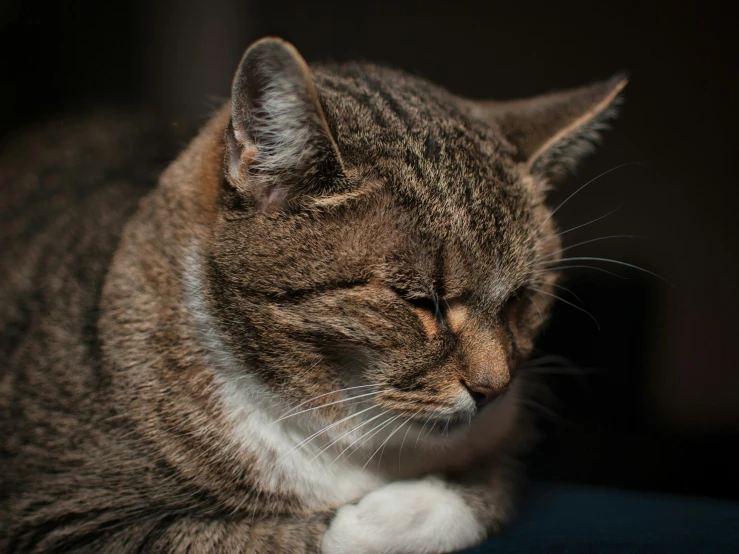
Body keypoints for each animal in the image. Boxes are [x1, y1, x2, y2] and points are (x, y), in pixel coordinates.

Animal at [0, 37, 624, 552]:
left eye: (521, 298)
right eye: (419, 300)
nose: (494, 390)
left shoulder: (502, 450)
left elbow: (486, 494)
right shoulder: (62, 515)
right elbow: (284, 537)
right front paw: (370, 515)